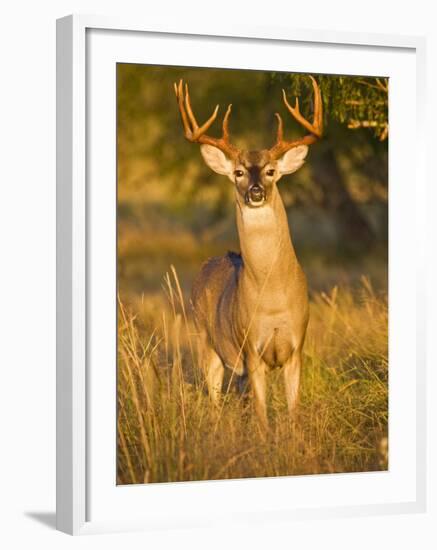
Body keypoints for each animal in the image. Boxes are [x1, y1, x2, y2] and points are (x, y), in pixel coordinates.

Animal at [175, 75, 324, 430]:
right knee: (214, 399)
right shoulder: (252, 352)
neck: (273, 296)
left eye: (270, 171)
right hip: (205, 340)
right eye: (239, 172)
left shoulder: (297, 347)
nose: (255, 192)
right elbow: (262, 416)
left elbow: (292, 412)